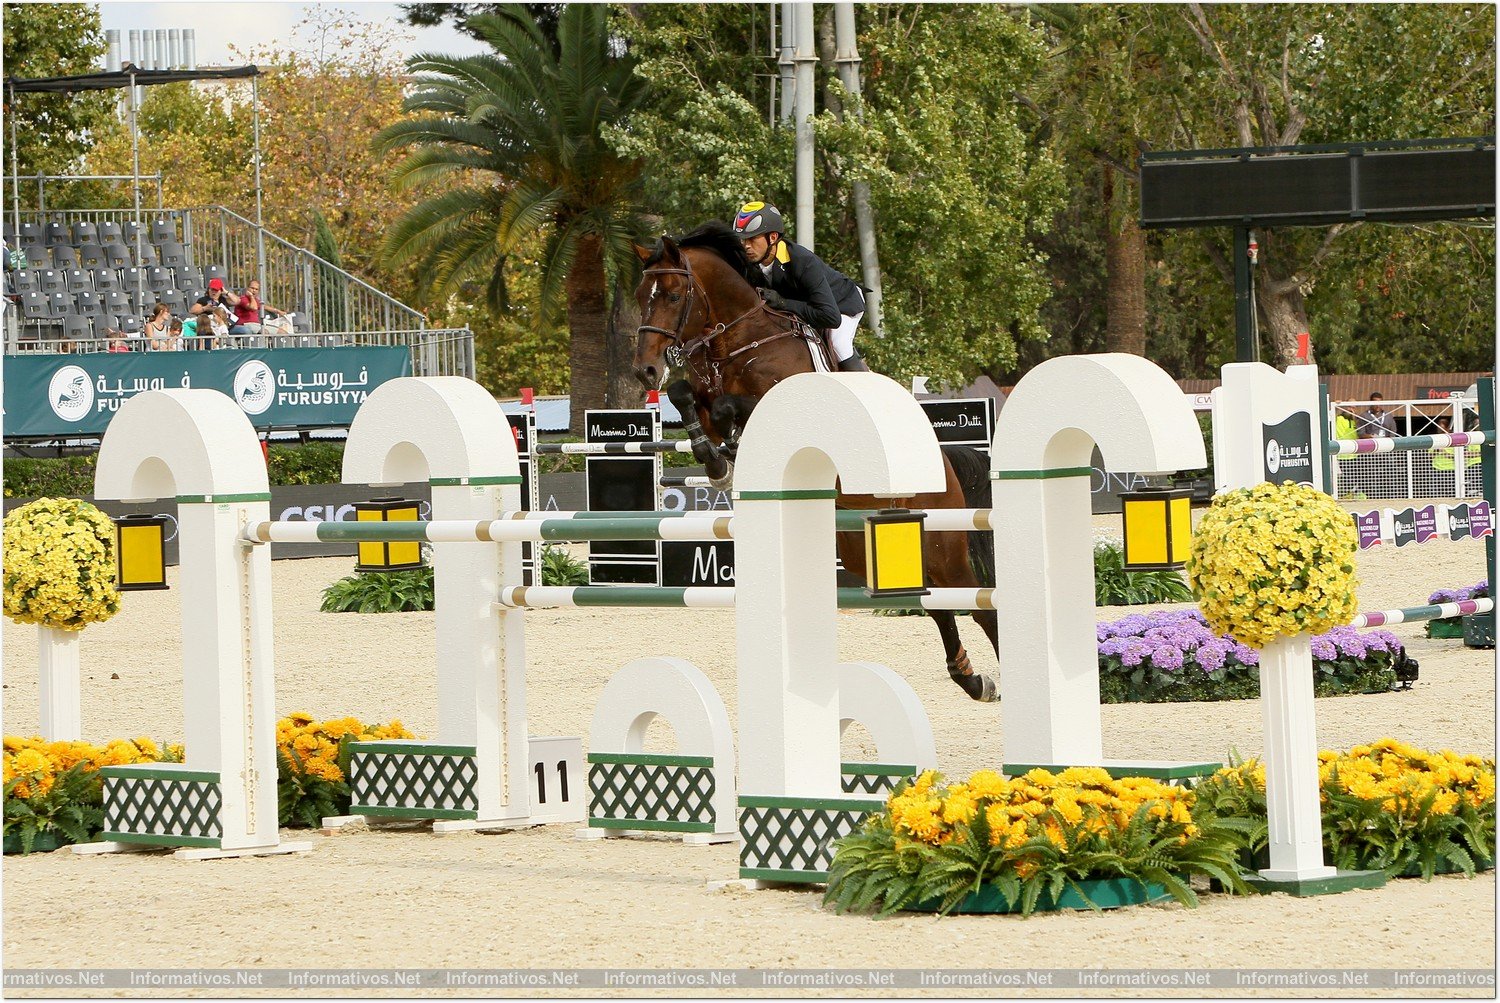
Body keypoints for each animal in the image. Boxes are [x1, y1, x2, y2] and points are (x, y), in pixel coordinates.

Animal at [627, 223, 1002, 701]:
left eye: (674, 296)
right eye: (641, 294)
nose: (644, 371)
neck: (739, 340)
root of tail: (945, 466)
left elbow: (731, 408)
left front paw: (728, 454)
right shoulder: (702, 393)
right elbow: (685, 397)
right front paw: (717, 461)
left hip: (942, 543)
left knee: (976, 605)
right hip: (865, 548)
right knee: (934, 606)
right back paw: (970, 677)